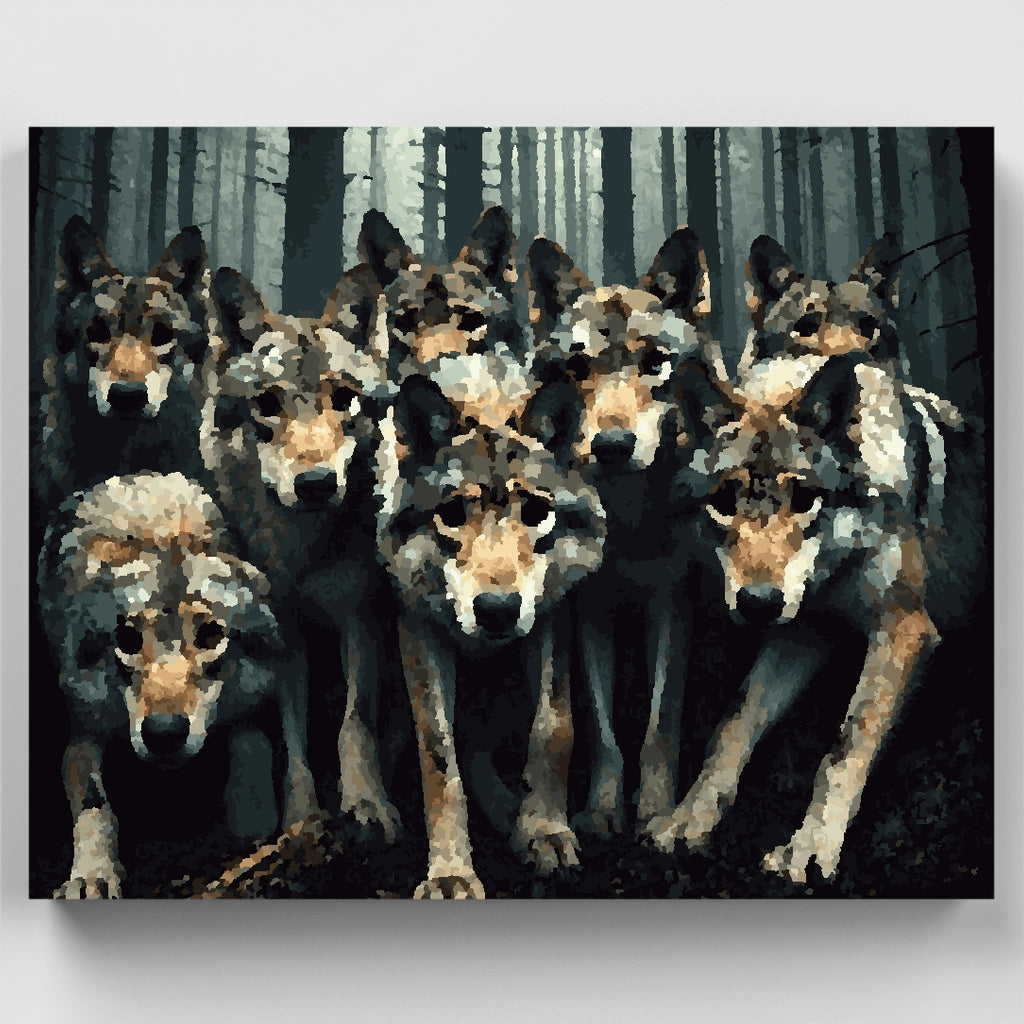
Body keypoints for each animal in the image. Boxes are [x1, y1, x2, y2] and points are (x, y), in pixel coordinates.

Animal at [39, 472, 318, 898]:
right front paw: (92, 874)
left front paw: (253, 812)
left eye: (210, 634)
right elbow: (93, 802)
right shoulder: (83, 730)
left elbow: (255, 740)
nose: (164, 733)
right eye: (127, 639)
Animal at [204, 263, 402, 843]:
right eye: (268, 405)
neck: (305, 552)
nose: (316, 484)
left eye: (345, 399)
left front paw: (367, 803)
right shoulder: (286, 635)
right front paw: (302, 819)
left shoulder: (359, 615)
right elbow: (296, 743)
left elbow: (353, 724)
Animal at [379, 377, 606, 897]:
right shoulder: (418, 625)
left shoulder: (550, 615)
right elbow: (439, 757)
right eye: (451, 514)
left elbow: (553, 727)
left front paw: (544, 829)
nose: (498, 611)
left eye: (538, 512)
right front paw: (450, 872)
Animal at [525, 227, 729, 836]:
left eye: (655, 363)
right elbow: (602, 728)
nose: (611, 446)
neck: (629, 520)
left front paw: (658, 810)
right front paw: (601, 809)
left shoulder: (671, 599)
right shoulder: (589, 608)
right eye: (578, 367)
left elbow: (661, 723)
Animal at [645, 349, 985, 883]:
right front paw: (688, 820)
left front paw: (808, 848)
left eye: (804, 500)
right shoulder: (804, 631)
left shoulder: (903, 625)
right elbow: (733, 722)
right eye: (723, 503)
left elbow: (845, 745)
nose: (757, 603)